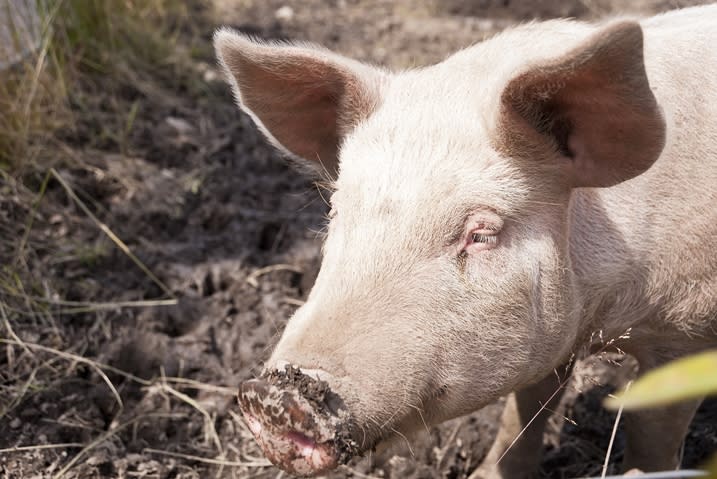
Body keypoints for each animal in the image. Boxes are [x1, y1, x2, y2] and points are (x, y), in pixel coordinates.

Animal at [214, 4, 716, 479]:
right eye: (337, 211)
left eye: (481, 234)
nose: (273, 395)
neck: (602, 320)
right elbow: (526, 410)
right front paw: (486, 473)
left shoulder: (685, 335)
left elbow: (652, 438)